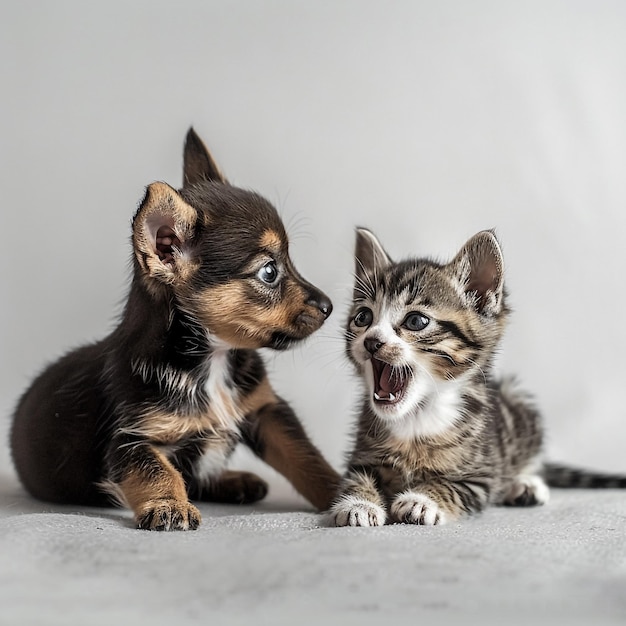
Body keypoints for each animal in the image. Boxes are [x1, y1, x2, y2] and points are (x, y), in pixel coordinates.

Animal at [11, 129, 336, 528]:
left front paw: (348, 490)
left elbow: (307, 458)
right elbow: (157, 471)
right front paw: (168, 505)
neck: (212, 360)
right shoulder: (133, 439)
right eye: (269, 272)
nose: (329, 307)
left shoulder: (268, 414)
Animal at [330, 227, 620, 524]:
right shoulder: (361, 459)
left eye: (416, 321)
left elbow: (450, 486)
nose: (371, 342)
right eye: (363, 317)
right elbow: (355, 479)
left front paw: (421, 500)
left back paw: (526, 485)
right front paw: (359, 503)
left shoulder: (480, 476)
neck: (416, 417)